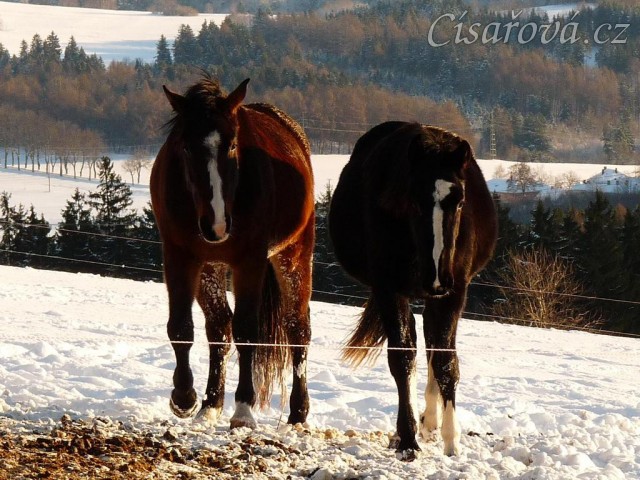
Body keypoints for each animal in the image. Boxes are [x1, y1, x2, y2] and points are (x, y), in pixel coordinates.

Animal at [150, 76, 315, 430]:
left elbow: (247, 331)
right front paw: (184, 397)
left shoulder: (249, 261)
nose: (216, 224)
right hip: (210, 267)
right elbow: (181, 327)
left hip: (293, 254)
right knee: (219, 327)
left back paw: (298, 413)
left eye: (232, 145)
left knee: (298, 329)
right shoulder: (180, 257)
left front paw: (243, 409)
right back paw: (210, 404)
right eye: (186, 146)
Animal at [328, 121, 497, 460]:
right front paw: (407, 439)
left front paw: (451, 440)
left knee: (434, 344)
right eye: (415, 201)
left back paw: (431, 421)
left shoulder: (454, 293)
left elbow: (446, 362)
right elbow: (403, 358)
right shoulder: (389, 290)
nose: (437, 278)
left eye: (460, 201)